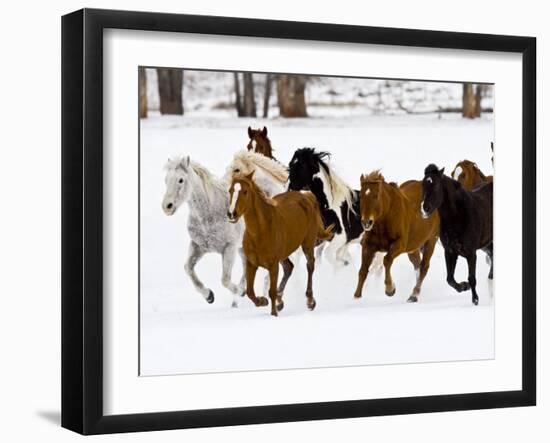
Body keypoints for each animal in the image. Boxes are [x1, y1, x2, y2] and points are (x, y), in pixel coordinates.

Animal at [161, 157, 245, 308]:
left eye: (181, 180)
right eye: (166, 180)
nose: (167, 207)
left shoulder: (230, 247)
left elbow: (225, 280)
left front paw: (240, 291)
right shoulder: (198, 246)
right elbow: (188, 268)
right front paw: (209, 296)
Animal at [227, 173, 334, 316]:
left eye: (245, 191)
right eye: (230, 190)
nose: (231, 214)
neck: (261, 232)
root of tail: (307, 195)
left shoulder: (273, 265)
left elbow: (271, 291)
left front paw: (274, 313)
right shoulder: (251, 264)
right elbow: (250, 292)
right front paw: (263, 301)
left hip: (307, 243)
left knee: (310, 265)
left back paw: (310, 301)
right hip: (284, 253)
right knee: (289, 268)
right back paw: (280, 301)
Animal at [356, 172, 442, 304]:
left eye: (376, 195)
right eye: (360, 195)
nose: (366, 222)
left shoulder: (399, 245)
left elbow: (387, 260)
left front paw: (390, 289)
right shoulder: (368, 245)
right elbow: (363, 270)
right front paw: (357, 297)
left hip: (431, 241)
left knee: (424, 267)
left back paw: (414, 295)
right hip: (413, 248)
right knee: (417, 264)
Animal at [422, 165, 496, 306]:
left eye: (436, 186)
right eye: (422, 186)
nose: (425, 209)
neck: (457, 216)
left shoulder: (471, 253)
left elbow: (472, 278)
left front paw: (475, 300)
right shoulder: (450, 252)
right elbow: (450, 279)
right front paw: (463, 286)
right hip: (487, 245)